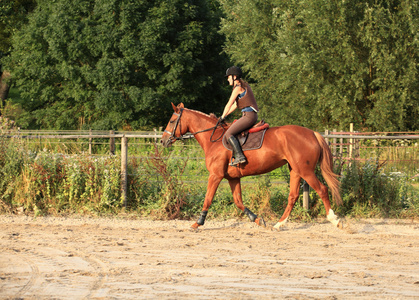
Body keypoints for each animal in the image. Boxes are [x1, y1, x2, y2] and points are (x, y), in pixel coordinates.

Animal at [162, 103, 344, 230]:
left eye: (172, 121)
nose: (163, 140)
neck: (213, 139)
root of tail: (313, 133)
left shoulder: (215, 175)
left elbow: (208, 198)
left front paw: (198, 223)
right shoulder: (233, 178)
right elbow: (238, 202)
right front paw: (258, 220)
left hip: (306, 171)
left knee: (322, 189)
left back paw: (335, 220)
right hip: (295, 170)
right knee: (293, 196)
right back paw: (278, 224)